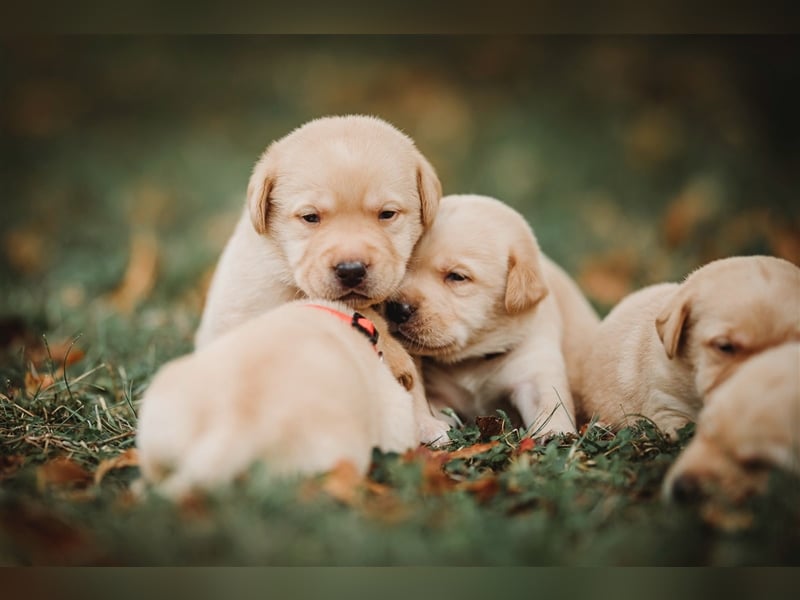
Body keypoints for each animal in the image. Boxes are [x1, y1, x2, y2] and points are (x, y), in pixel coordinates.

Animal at [384, 195, 596, 438]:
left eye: (457, 277)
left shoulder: (535, 366)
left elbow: (550, 404)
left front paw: (554, 432)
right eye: (406, 265)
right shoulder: (437, 393)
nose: (396, 309)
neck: (474, 357)